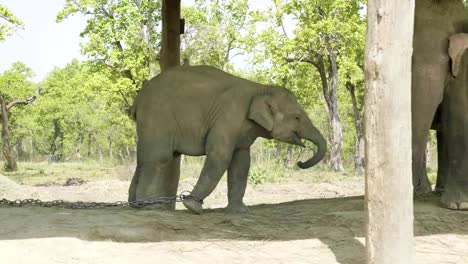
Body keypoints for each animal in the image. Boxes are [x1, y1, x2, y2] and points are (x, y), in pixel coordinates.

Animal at [126, 64, 328, 214]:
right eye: (297, 117)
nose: (300, 163)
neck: (260, 87)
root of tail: (138, 99)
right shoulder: (228, 118)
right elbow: (220, 156)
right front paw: (192, 207)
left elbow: (242, 163)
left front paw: (240, 211)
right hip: (157, 116)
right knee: (158, 158)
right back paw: (150, 207)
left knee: (143, 159)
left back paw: (135, 206)